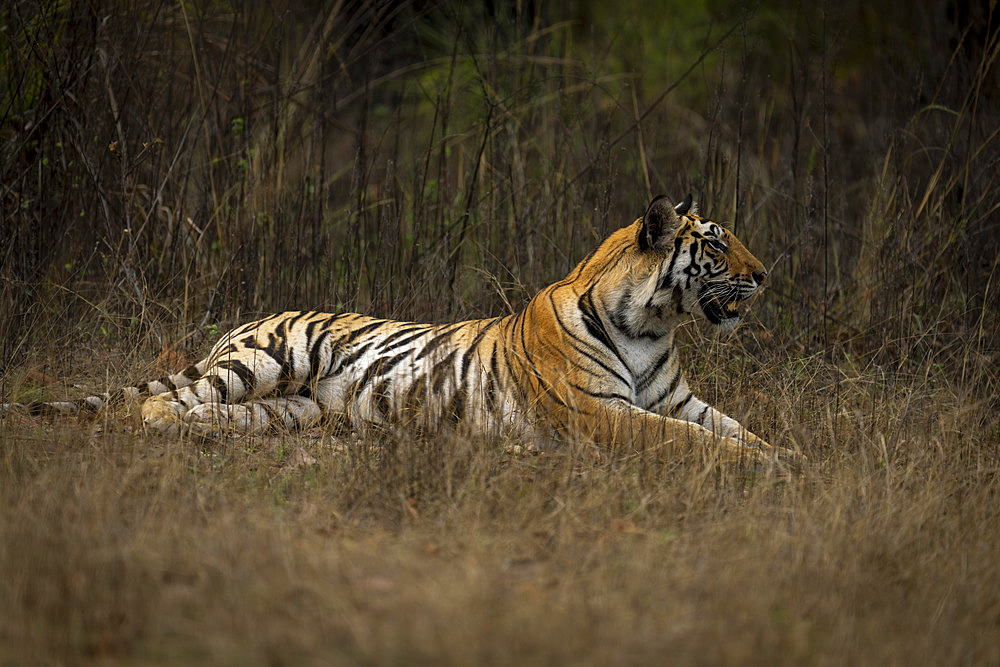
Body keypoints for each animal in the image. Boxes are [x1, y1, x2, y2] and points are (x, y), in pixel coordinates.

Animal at [3, 193, 792, 464]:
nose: (766, 273)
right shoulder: (605, 413)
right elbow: (693, 442)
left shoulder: (675, 399)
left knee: (223, 414)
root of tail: (246, 320)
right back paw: (179, 427)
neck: (653, 324)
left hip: (288, 407)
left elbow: (737, 429)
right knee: (155, 406)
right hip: (270, 359)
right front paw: (768, 468)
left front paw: (792, 459)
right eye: (717, 245)